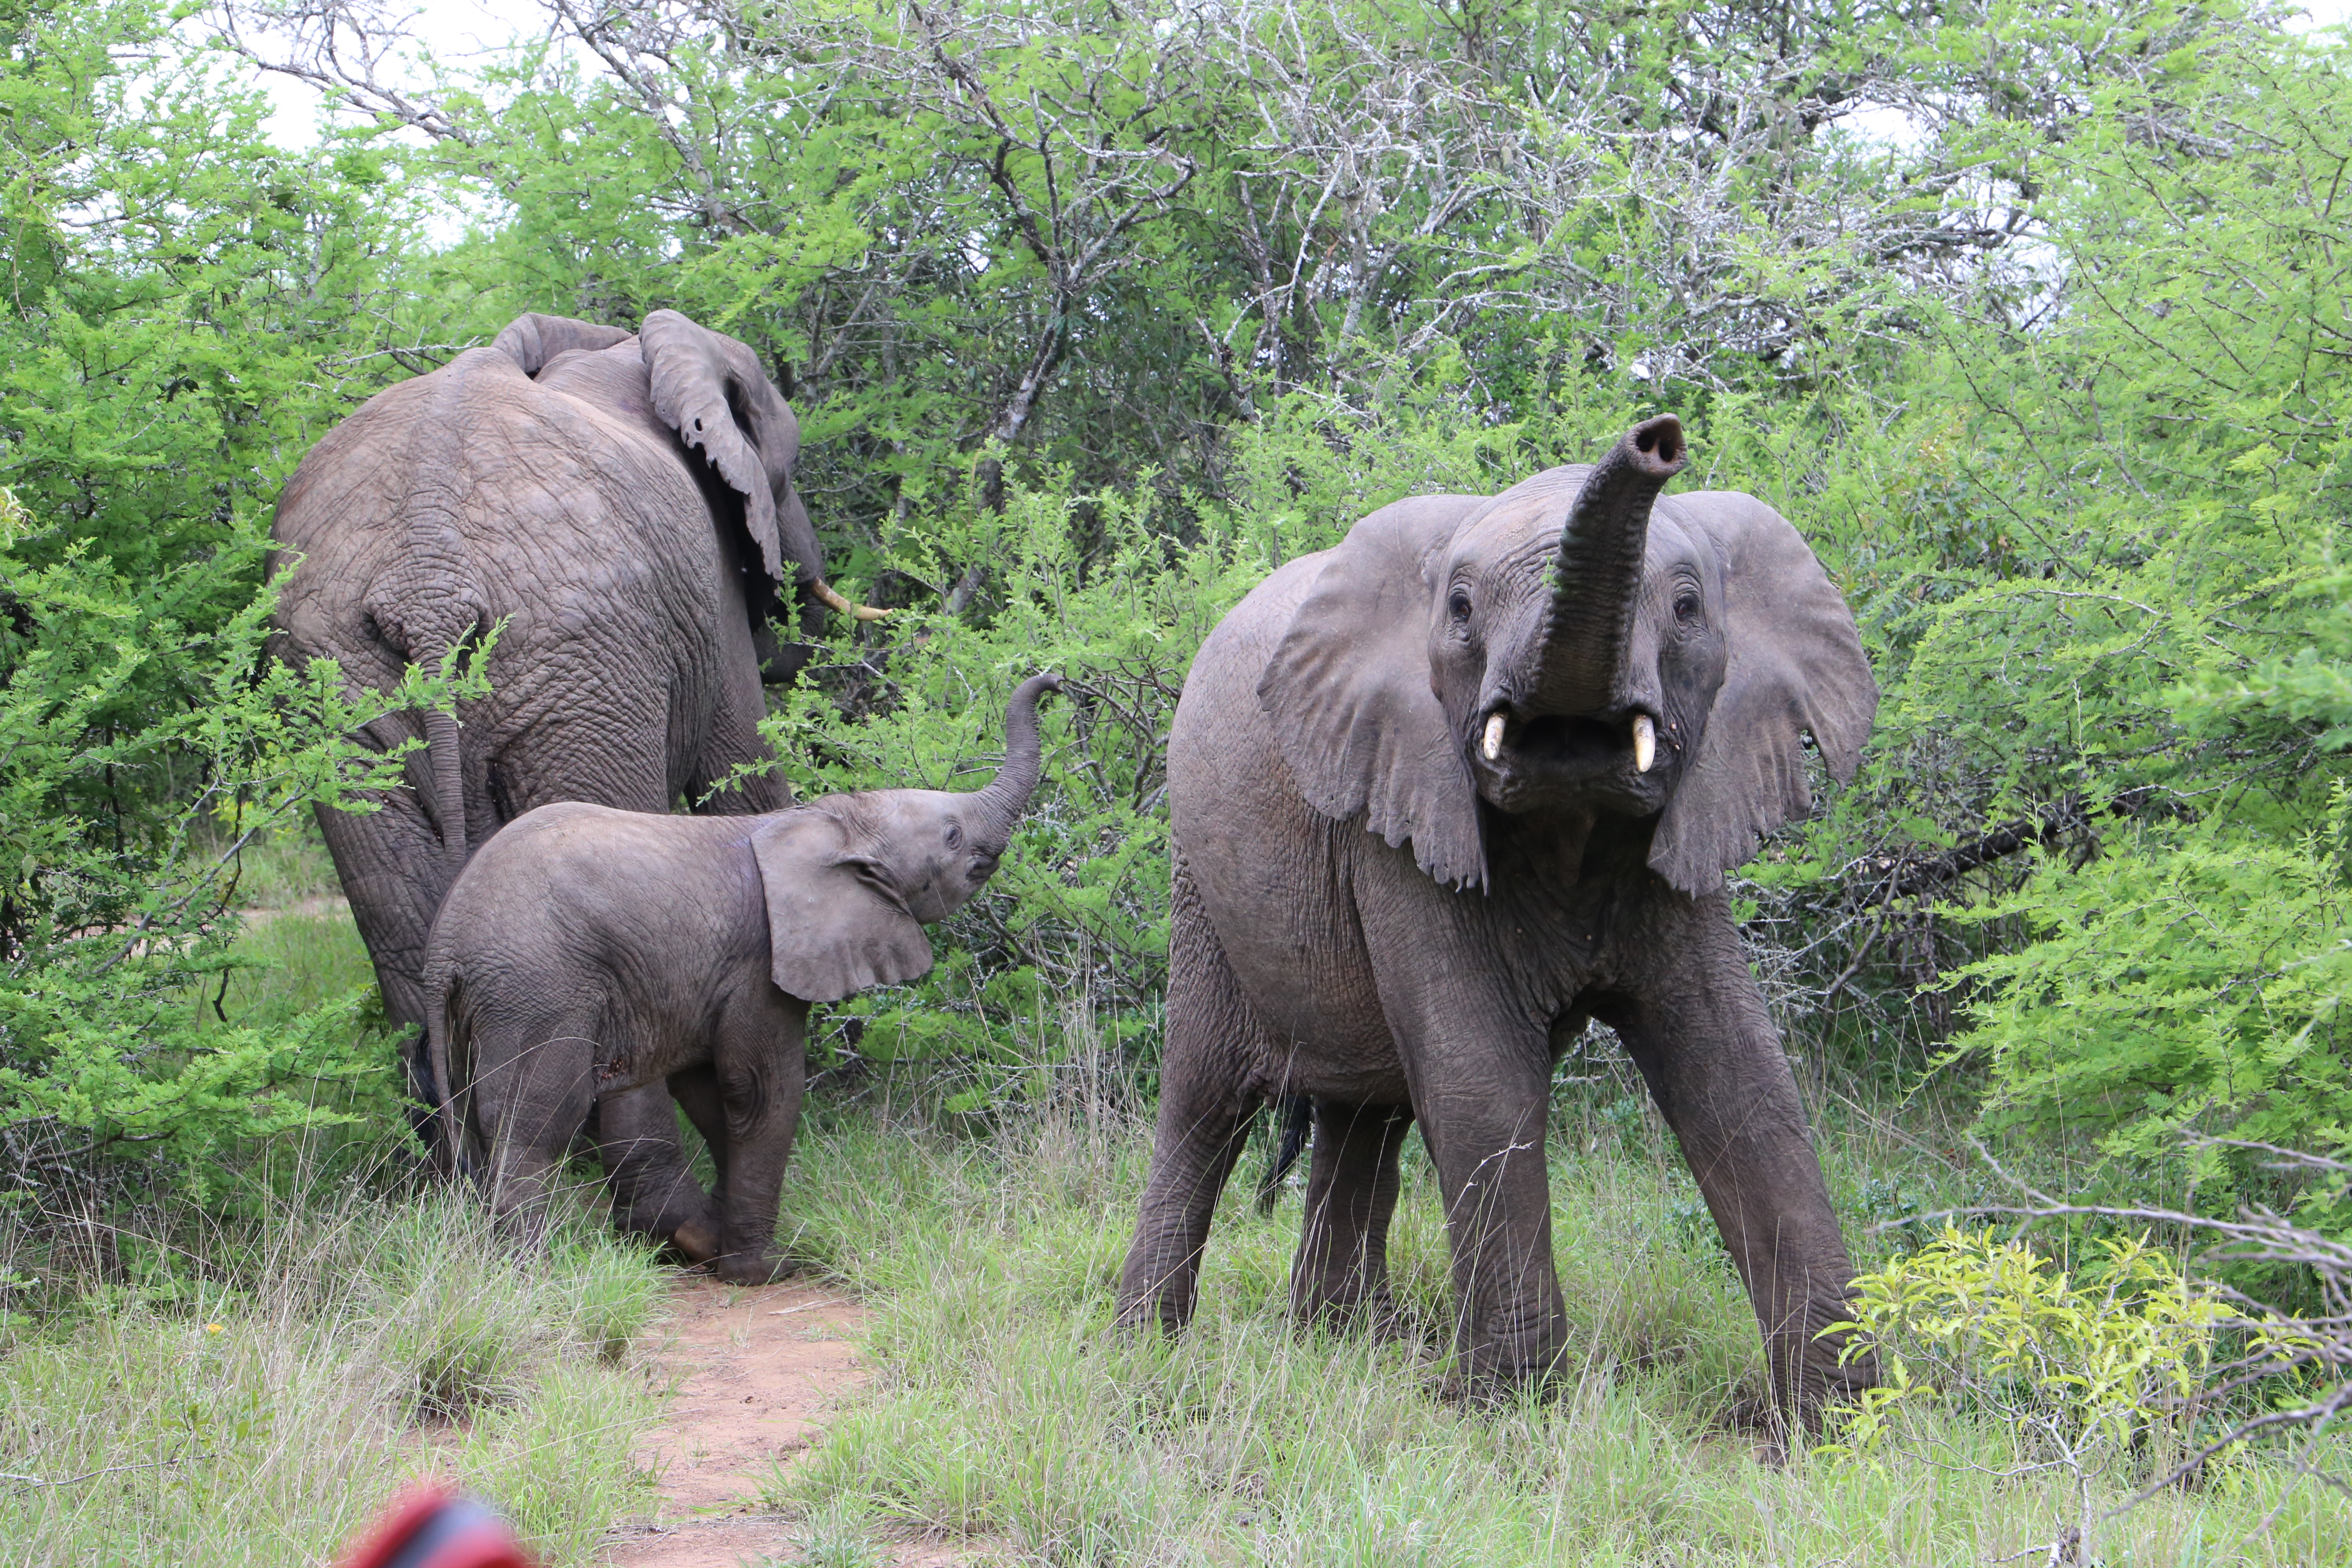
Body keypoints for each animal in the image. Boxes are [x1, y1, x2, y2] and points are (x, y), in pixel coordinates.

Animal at [268, 308, 882, 1250]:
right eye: (786, 465)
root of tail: (429, 579)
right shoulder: (707, 602)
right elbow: (742, 783)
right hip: (585, 661)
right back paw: (669, 1222)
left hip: (338, 683)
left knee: (402, 930)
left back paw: (456, 1190)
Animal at [425, 673, 1061, 1280]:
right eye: (953, 837)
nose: (1054, 681)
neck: (828, 820)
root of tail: (444, 945)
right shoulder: (762, 961)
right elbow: (758, 1091)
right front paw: (764, 1270)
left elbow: (711, 1094)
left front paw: (711, 1244)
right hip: (538, 988)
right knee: (533, 1125)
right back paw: (534, 1271)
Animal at [1114, 415, 1879, 1426]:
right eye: (1461, 608)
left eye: (1685, 608)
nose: (1659, 437)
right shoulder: (1397, 806)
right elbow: (1481, 1074)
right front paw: (1514, 1410)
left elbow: (1739, 1074)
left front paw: (1843, 1420)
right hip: (1201, 882)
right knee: (1205, 1104)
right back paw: (1144, 1346)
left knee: (1370, 1110)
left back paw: (1340, 1343)